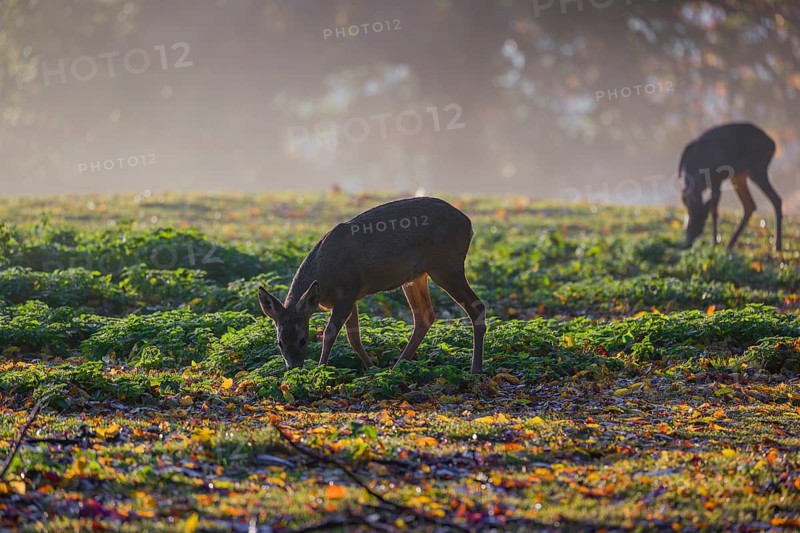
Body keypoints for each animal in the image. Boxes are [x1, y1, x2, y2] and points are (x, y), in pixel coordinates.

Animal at [257, 197, 486, 374]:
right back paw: (398, 365)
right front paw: (371, 368)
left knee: (477, 306)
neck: (323, 274)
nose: (293, 367)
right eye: (279, 342)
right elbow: (353, 337)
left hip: (447, 266)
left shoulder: (348, 290)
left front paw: (321, 369)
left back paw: (475, 368)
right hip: (416, 277)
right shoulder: (351, 296)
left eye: (303, 340)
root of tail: (468, 224)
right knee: (425, 316)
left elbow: (330, 333)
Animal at [678, 122, 782, 252]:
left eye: (701, 225)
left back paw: (777, 245)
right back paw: (730, 244)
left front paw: (715, 243)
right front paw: (715, 242)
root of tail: (772, 144)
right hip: (738, 175)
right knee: (750, 205)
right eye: (689, 222)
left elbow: (714, 210)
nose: (688, 243)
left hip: (757, 167)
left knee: (776, 199)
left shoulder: (716, 179)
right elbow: (713, 208)